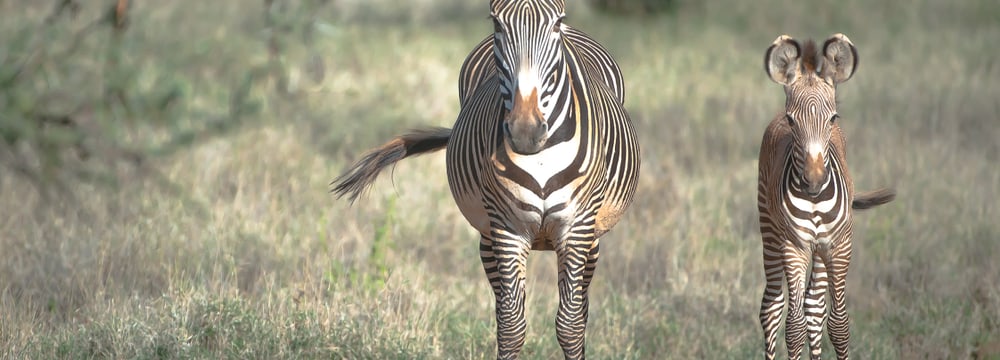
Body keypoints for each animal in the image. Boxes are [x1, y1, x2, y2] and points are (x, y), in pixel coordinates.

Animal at [330, 1, 640, 358]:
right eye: (497, 25)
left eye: (555, 24)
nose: (525, 131)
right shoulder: (507, 228)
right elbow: (511, 326)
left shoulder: (576, 227)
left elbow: (570, 325)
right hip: (487, 234)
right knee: (505, 303)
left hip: (591, 235)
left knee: (579, 305)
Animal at [756, 32, 900, 358]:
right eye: (792, 120)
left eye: (833, 118)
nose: (814, 180)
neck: (814, 201)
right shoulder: (794, 247)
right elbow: (793, 327)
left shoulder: (839, 245)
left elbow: (838, 324)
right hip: (770, 231)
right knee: (772, 308)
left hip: (821, 249)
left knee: (814, 306)